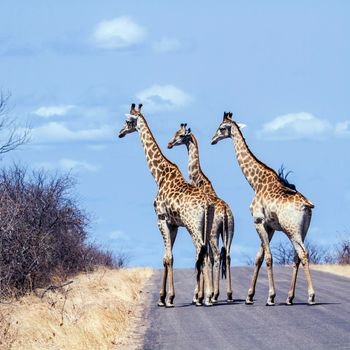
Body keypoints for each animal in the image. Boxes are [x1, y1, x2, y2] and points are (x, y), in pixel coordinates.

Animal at [119, 104, 215, 306]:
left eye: (127, 121)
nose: (120, 132)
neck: (159, 176)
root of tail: (206, 203)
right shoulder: (173, 224)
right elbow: (166, 257)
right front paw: (162, 297)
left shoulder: (161, 219)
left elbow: (169, 257)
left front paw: (169, 298)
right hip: (207, 225)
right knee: (207, 254)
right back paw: (207, 296)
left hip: (193, 225)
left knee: (201, 252)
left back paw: (203, 297)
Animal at [167, 124, 234, 302]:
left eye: (181, 135)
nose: (169, 144)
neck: (200, 181)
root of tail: (226, 212)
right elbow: (206, 258)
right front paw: (203, 294)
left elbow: (205, 257)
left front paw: (199, 295)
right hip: (229, 232)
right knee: (226, 255)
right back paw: (228, 294)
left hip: (212, 233)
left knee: (216, 256)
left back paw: (215, 295)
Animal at [212, 112, 316, 306]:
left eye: (221, 128)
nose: (212, 140)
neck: (256, 182)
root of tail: (307, 206)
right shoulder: (270, 227)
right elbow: (259, 257)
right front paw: (249, 296)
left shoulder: (258, 221)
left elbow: (267, 257)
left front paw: (270, 296)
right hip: (303, 229)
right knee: (297, 256)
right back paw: (290, 297)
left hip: (292, 230)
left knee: (303, 253)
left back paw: (311, 296)